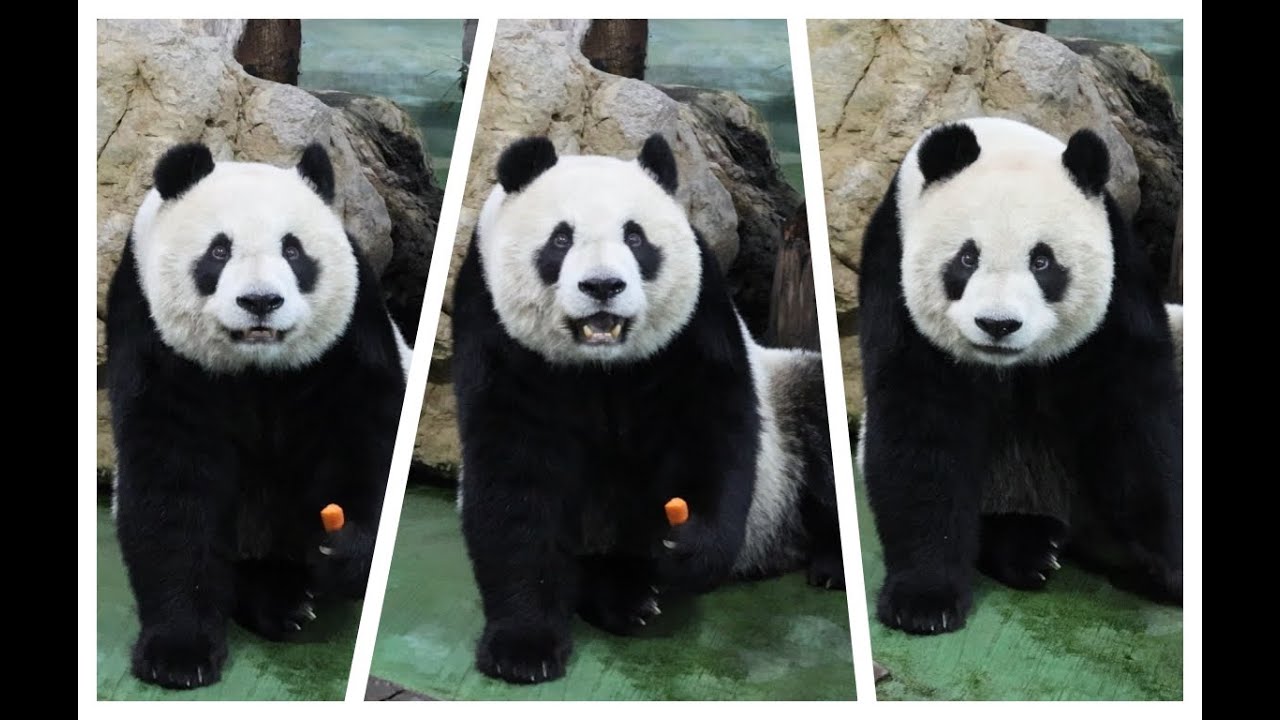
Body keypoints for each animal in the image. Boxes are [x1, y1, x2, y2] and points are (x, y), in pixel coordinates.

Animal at [105, 142, 409, 688]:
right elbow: (170, 478)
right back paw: (275, 597)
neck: (256, 367)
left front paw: (345, 548)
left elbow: (367, 436)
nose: (260, 301)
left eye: (293, 251)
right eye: (218, 252)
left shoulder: (351, 331)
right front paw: (178, 652)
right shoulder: (150, 336)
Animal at [452, 134, 842, 684]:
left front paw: (688, 545)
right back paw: (623, 595)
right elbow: (513, 474)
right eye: (560, 240)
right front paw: (523, 648)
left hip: (785, 414)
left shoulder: (696, 317)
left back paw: (830, 562)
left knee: (817, 414)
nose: (602, 287)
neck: (601, 365)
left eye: (635, 238)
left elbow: (710, 427)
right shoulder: (494, 332)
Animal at [857, 117, 1182, 635]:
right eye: (967, 258)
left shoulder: (1119, 286)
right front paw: (924, 600)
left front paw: (1170, 566)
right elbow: (921, 424)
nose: (998, 325)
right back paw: (1026, 546)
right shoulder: (894, 276)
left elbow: (1135, 417)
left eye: (1042, 261)